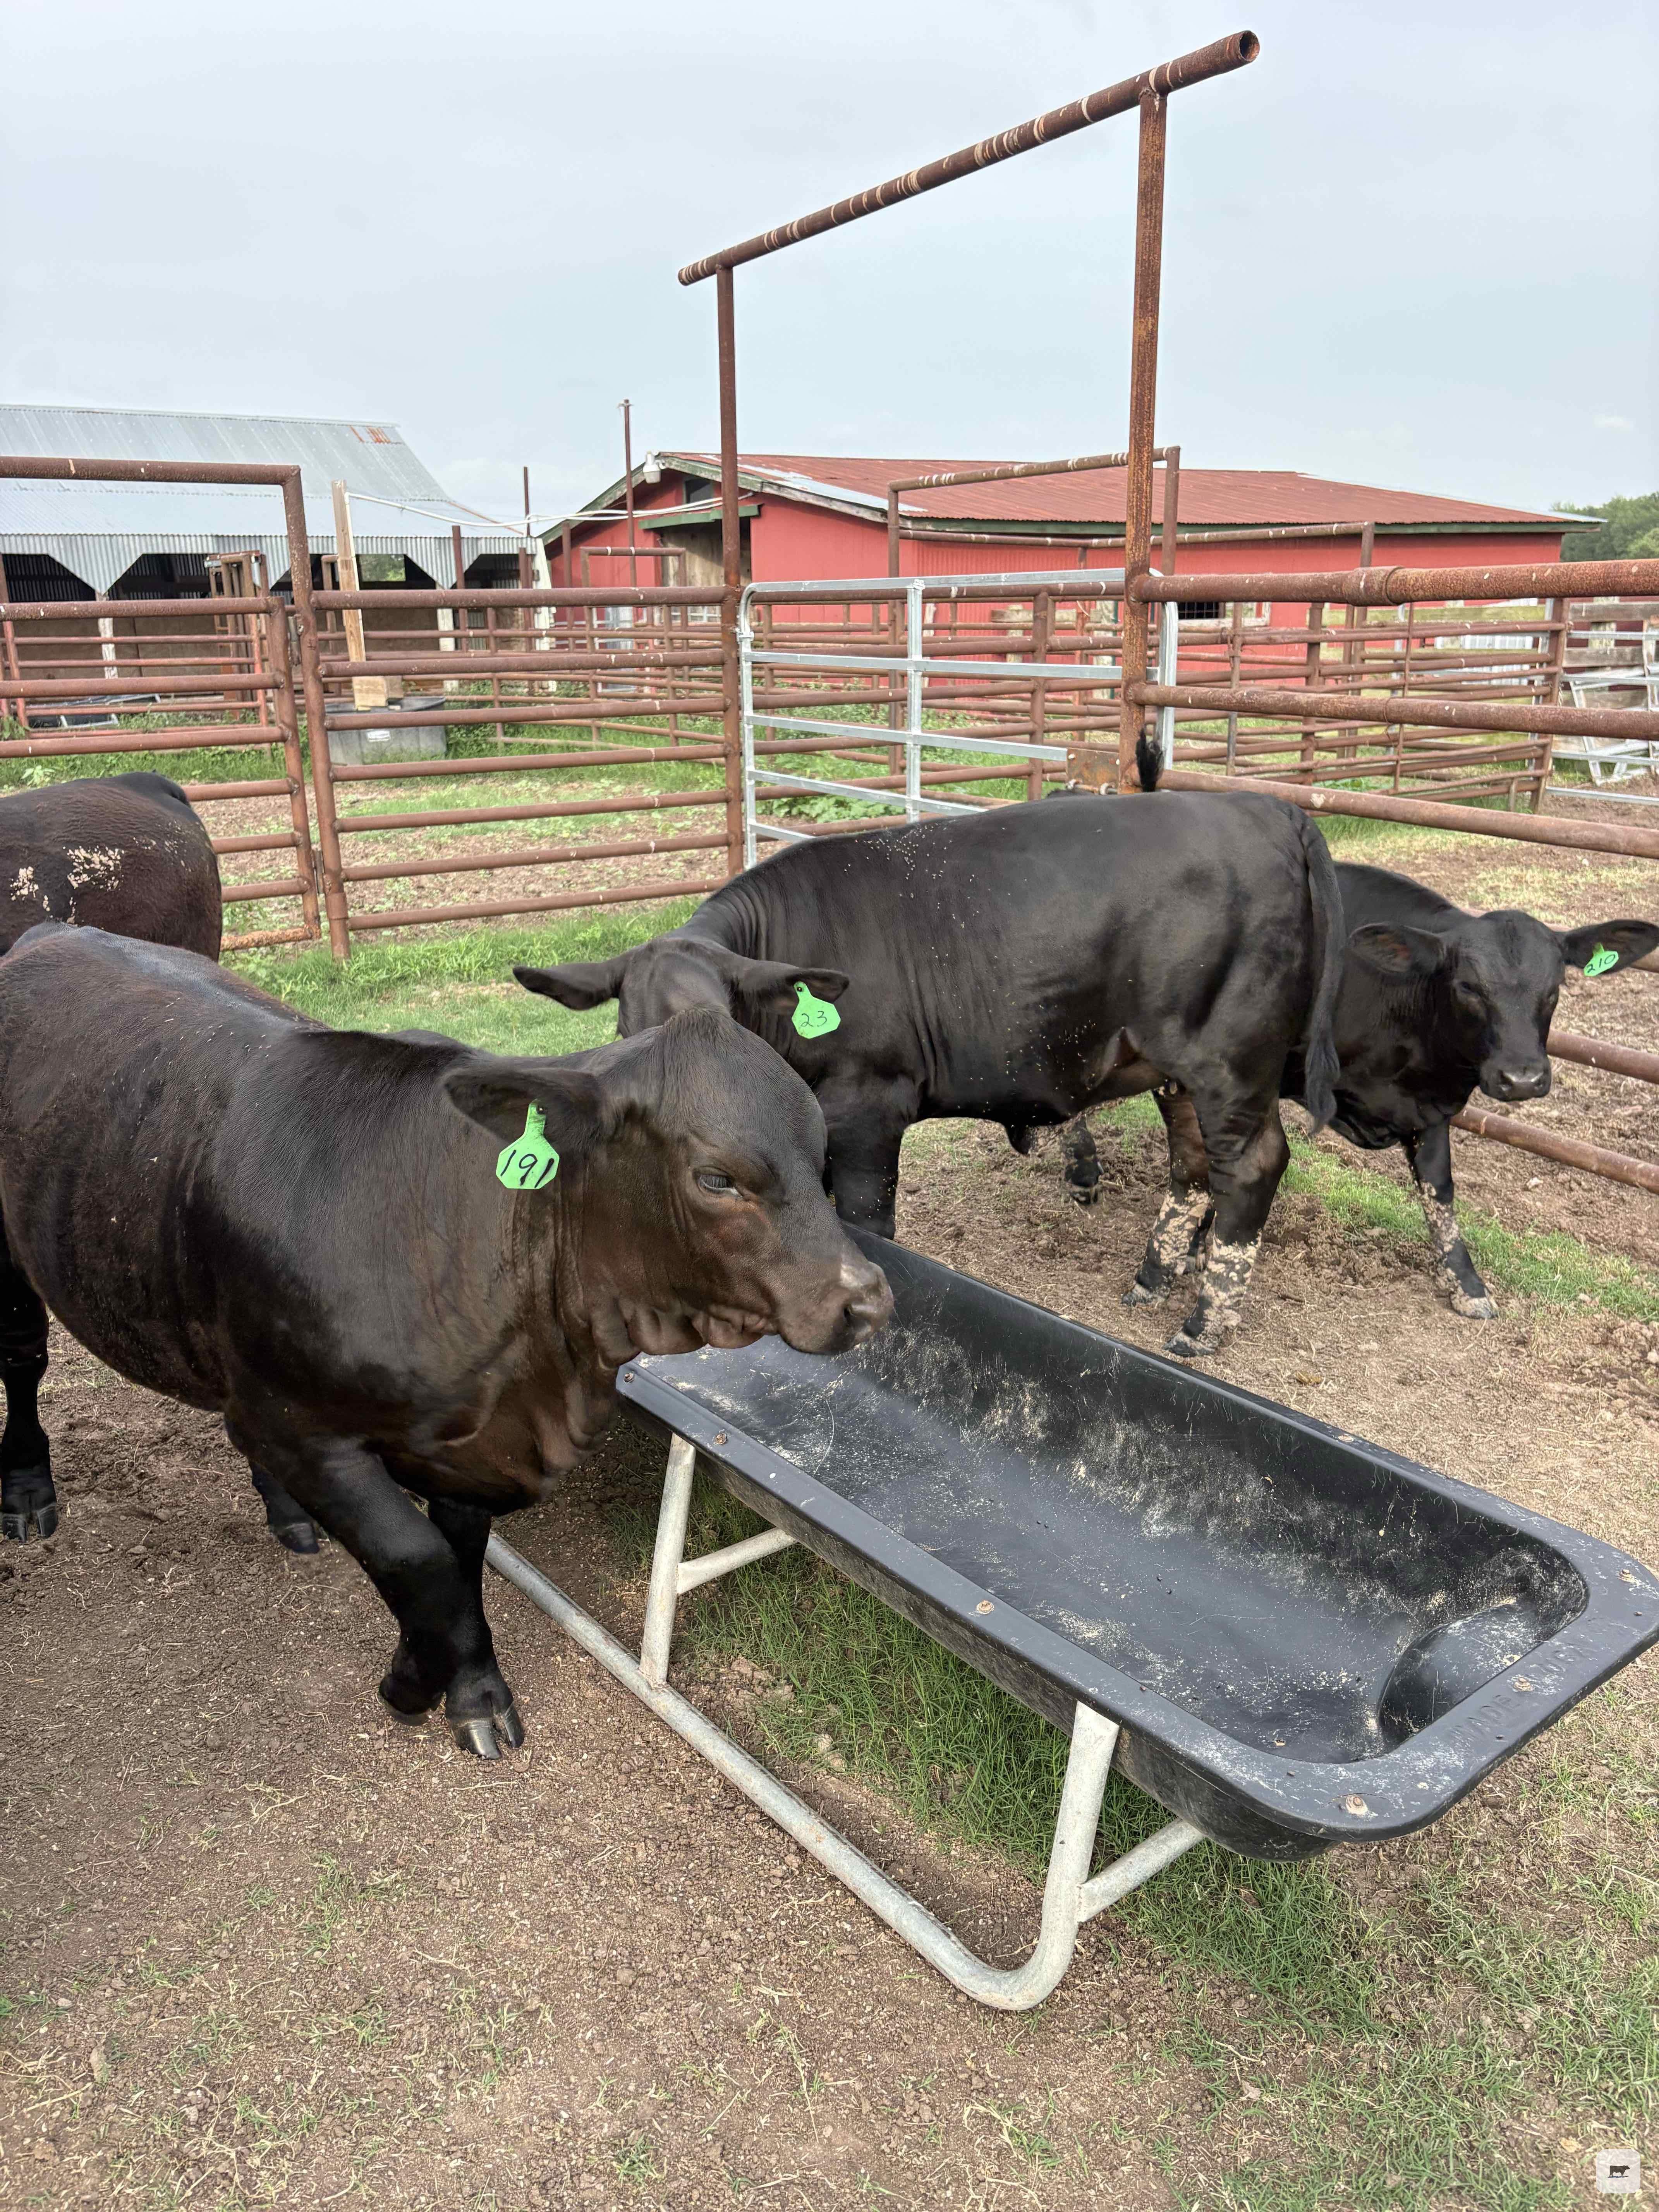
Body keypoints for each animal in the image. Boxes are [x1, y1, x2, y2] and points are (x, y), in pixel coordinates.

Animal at [0, 926, 891, 1752]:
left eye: (819, 1152)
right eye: (715, 1178)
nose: (867, 1302)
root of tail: (53, 934)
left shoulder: (471, 1442)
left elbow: (457, 1562)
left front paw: (472, 1689)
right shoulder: (301, 1427)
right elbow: (419, 1561)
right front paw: (411, 1683)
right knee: (23, 1360)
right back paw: (29, 1493)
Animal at [513, 746, 1345, 1356]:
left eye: (725, 1025)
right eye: (627, 1032)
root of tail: (1270, 810)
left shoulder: (866, 1115)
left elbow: (867, 1227)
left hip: (1230, 1061)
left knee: (1250, 1167)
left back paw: (1201, 1326)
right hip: (1174, 1069)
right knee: (1192, 1165)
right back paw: (1150, 1279)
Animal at [1052, 793, 1659, 1319]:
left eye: (1556, 987)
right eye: (1467, 986)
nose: (1523, 1078)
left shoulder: (1430, 1108)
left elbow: (1439, 1192)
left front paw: (1467, 1284)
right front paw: (1195, 1250)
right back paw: (1083, 1171)